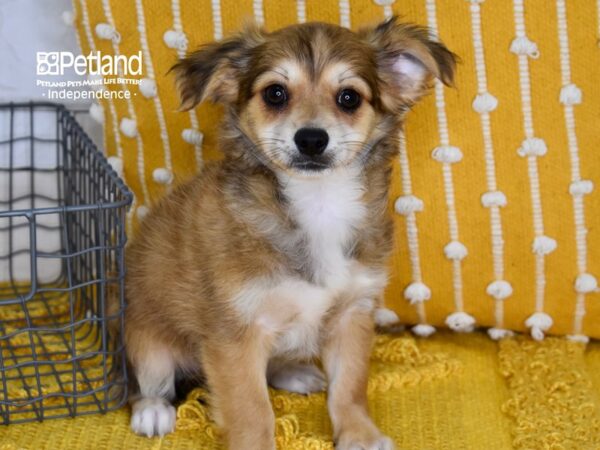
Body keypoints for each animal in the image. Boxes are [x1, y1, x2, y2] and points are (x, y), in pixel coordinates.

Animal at [125, 16, 454, 450]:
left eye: (349, 98)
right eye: (275, 93)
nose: (311, 139)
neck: (317, 205)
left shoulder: (352, 313)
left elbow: (350, 385)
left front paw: (360, 434)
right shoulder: (236, 335)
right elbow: (252, 411)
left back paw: (295, 372)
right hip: (146, 338)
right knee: (148, 378)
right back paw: (153, 410)